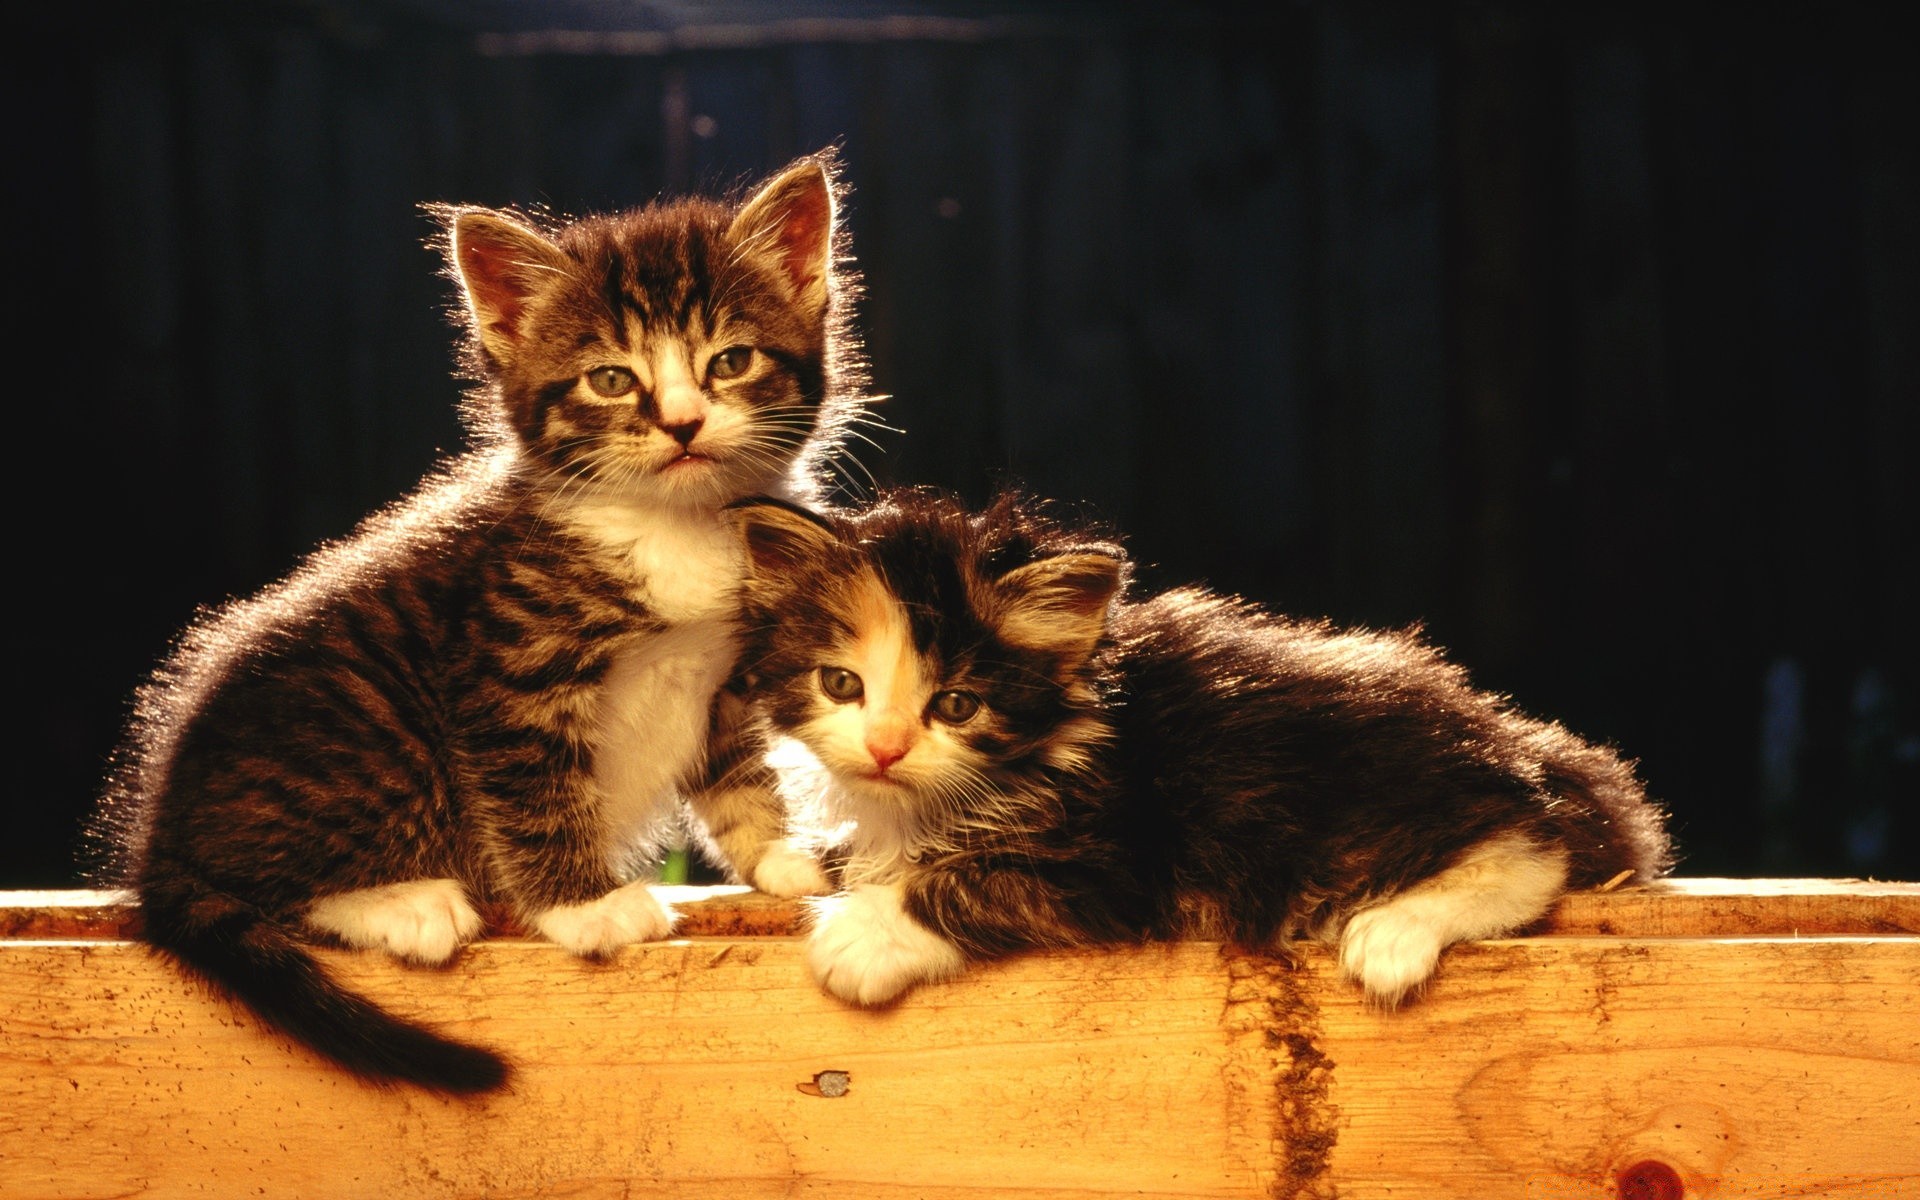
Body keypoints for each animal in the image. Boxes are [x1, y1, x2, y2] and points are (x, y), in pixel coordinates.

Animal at [91, 154, 864, 1090]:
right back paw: (408, 903)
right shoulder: (509, 669)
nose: (683, 424)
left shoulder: (724, 674)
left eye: (733, 361)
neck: (674, 526)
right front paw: (584, 910)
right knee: (264, 884)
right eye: (611, 379)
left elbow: (739, 772)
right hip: (373, 740)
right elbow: (533, 792)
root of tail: (160, 842)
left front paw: (781, 857)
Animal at [725, 487, 1674, 998]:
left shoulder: (1120, 860)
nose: (886, 748)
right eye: (841, 685)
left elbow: (978, 880)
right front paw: (812, 865)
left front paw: (864, 935)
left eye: (957, 705)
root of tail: (1507, 732)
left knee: (1533, 847)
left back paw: (1393, 933)